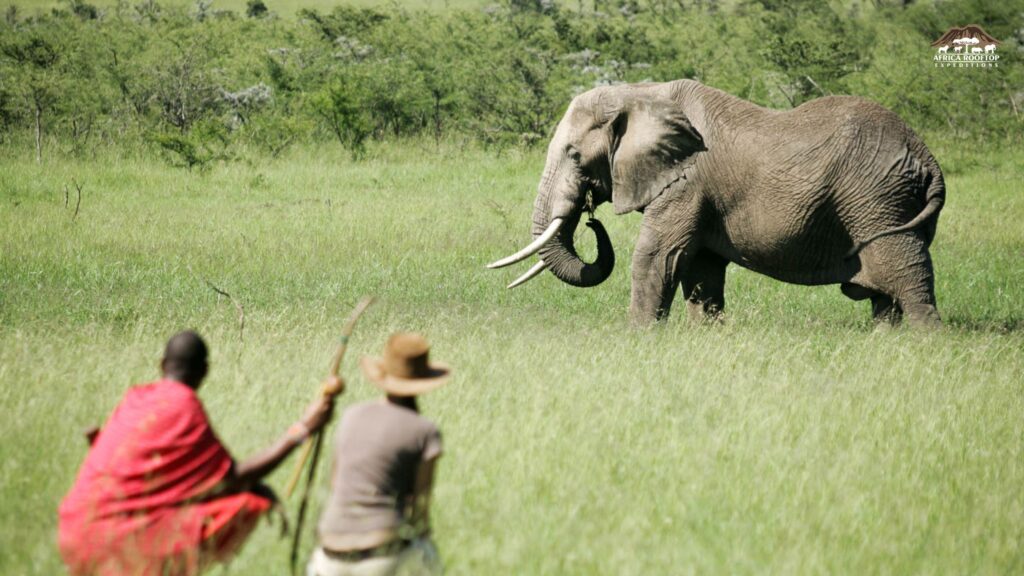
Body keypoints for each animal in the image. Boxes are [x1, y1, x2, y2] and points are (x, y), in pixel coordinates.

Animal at [487, 78, 942, 325]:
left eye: (575, 156)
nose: (590, 219)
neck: (640, 94)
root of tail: (926, 156)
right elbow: (701, 269)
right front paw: (706, 336)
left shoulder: (686, 182)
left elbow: (656, 255)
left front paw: (637, 337)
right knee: (886, 297)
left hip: (879, 201)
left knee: (908, 281)